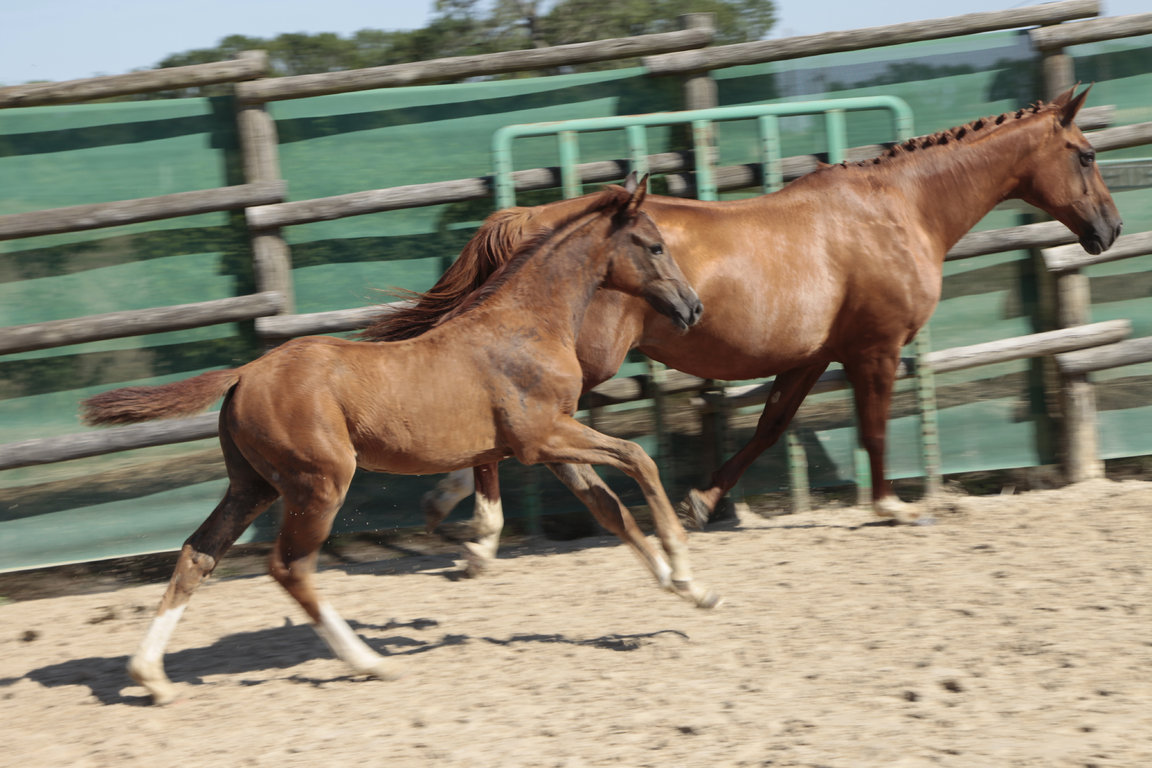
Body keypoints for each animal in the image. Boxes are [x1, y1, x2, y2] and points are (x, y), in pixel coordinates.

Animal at [81, 177, 714, 704]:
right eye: (654, 246)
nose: (693, 308)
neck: (527, 325)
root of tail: (242, 374)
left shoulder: (550, 445)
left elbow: (609, 509)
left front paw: (693, 593)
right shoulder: (544, 439)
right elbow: (639, 459)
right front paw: (685, 566)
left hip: (253, 485)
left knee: (199, 554)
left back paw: (151, 677)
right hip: (319, 484)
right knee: (290, 568)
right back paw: (371, 662)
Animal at [364, 86, 1119, 573]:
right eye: (1084, 154)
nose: (1109, 230)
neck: (900, 211)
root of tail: (527, 218)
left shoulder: (816, 354)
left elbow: (769, 428)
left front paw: (702, 502)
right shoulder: (874, 347)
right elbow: (874, 430)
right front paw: (891, 508)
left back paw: (464, 523)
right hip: (584, 360)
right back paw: (475, 532)